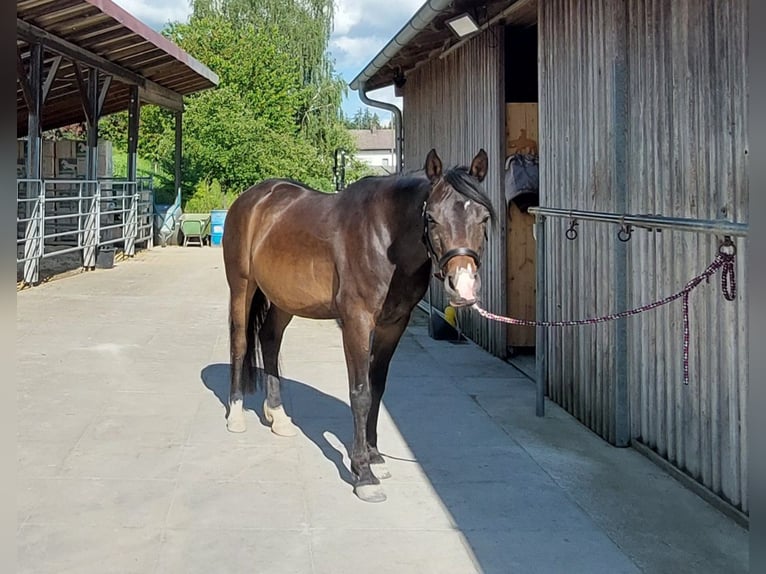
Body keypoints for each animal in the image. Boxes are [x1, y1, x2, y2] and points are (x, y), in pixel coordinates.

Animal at [222, 150, 498, 504]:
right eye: (432, 218)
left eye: (484, 218)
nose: (462, 287)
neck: (384, 237)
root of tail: (252, 198)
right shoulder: (356, 321)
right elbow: (361, 393)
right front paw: (363, 474)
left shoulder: (394, 324)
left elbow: (377, 388)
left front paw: (376, 457)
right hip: (242, 286)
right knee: (240, 343)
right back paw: (236, 415)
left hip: (285, 299)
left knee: (269, 339)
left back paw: (279, 417)